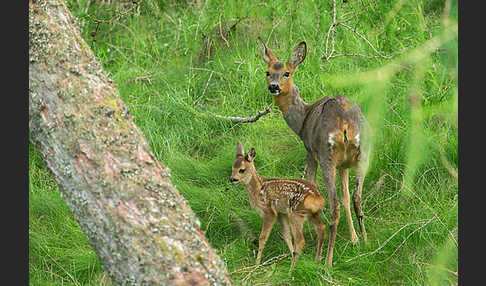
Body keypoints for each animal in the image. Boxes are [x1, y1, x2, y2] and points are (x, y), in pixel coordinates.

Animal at [229, 142, 326, 270]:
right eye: (232, 168)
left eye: (242, 170)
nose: (232, 179)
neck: (258, 189)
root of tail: (317, 198)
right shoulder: (280, 213)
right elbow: (286, 235)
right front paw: (291, 254)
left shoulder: (269, 211)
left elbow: (262, 237)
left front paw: (256, 264)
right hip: (312, 213)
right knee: (322, 228)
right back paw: (317, 261)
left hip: (296, 213)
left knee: (300, 240)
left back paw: (292, 269)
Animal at [256, 36, 370, 268]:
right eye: (267, 71)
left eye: (287, 73)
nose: (273, 87)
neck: (302, 120)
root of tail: (345, 124)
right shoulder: (344, 165)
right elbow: (346, 197)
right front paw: (354, 239)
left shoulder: (310, 152)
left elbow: (311, 183)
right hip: (364, 152)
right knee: (356, 197)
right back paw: (365, 241)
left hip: (326, 155)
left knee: (334, 205)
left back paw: (327, 260)